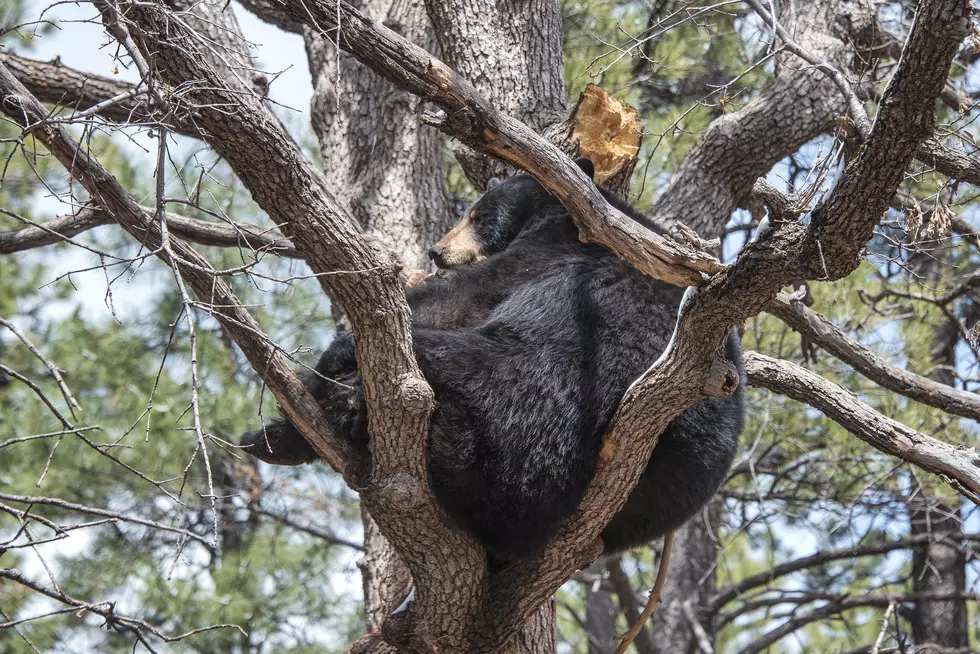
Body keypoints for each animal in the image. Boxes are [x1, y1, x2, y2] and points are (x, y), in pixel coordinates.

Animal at [241, 161, 748, 568]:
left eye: (478, 215)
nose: (436, 250)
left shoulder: (549, 252)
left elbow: (459, 297)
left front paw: (331, 360)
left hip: (509, 397)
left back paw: (319, 414)